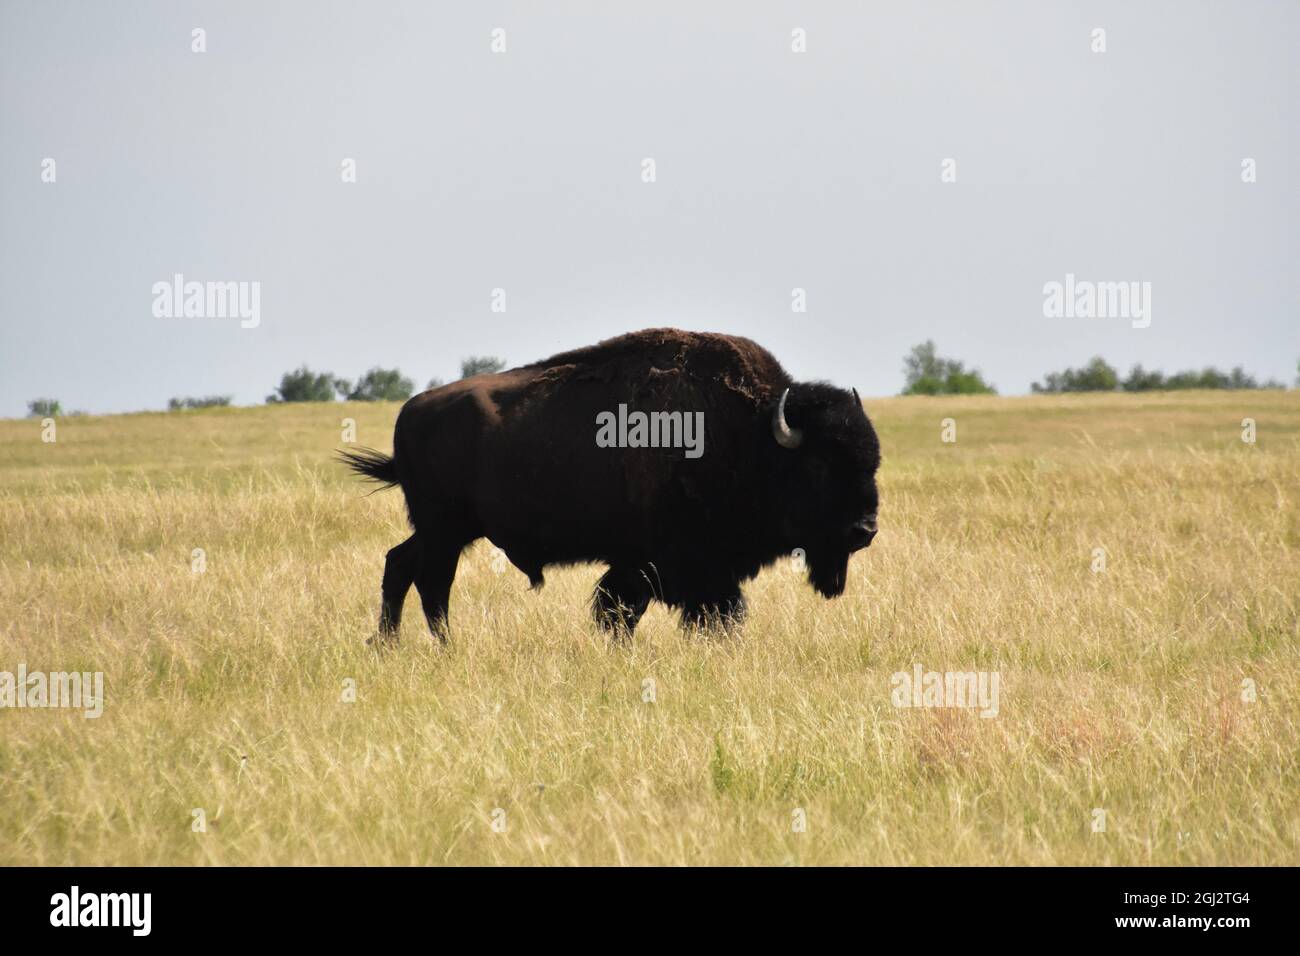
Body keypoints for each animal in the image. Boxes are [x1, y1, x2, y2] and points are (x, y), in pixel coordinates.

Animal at [340, 328, 880, 642]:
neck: (752, 434)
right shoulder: (681, 564)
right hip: (445, 530)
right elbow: (695, 612)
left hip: (444, 529)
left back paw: (389, 645)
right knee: (431, 581)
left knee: (401, 565)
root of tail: (412, 410)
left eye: (871, 463)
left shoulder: (647, 565)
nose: (865, 530)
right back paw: (442, 648)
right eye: (819, 467)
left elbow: (624, 609)